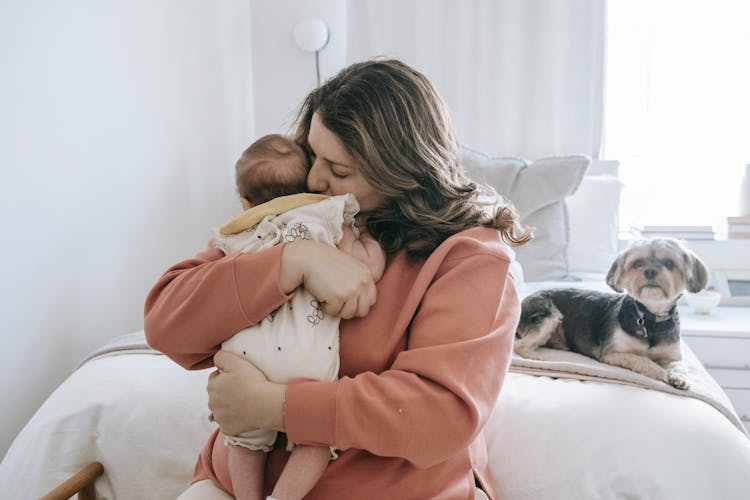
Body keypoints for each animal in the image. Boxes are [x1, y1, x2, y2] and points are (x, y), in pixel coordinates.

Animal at [516, 238, 712, 390]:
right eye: (638, 263)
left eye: (669, 263)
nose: (649, 271)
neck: (649, 317)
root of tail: (522, 301)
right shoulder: (613, 353)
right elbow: (643, 360)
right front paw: (662, 373)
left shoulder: (672, 355)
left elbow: (680, 365)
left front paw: (679, 378)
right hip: (547, 316)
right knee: (520, 346)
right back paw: (537, 355)